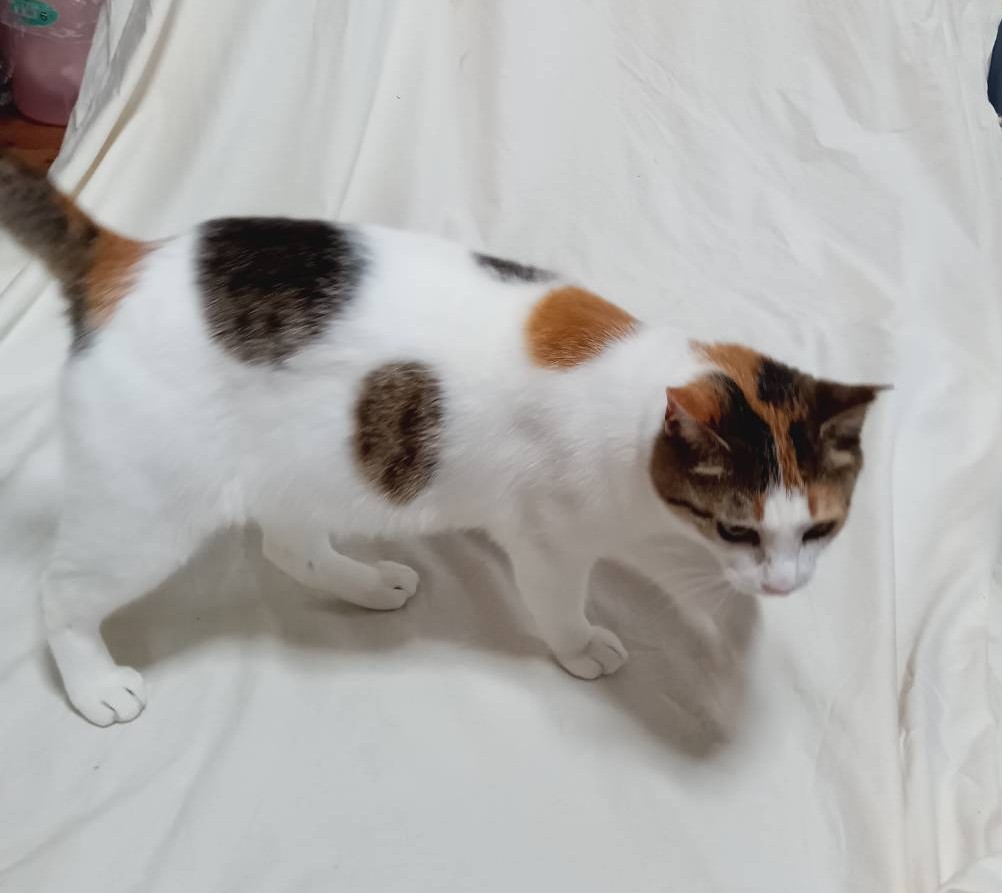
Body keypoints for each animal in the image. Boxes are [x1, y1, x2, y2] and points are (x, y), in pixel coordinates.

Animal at [0, 152, 881, 726]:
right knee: (61, 592)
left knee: (290, 549)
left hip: (302, 468)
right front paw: (583, 645)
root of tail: (128, 261)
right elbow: (560, 604)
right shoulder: (549, 543)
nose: (785, 584)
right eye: (736, 527)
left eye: (820, 529)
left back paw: (368, 581)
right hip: (146, 512)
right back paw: (94, 683)